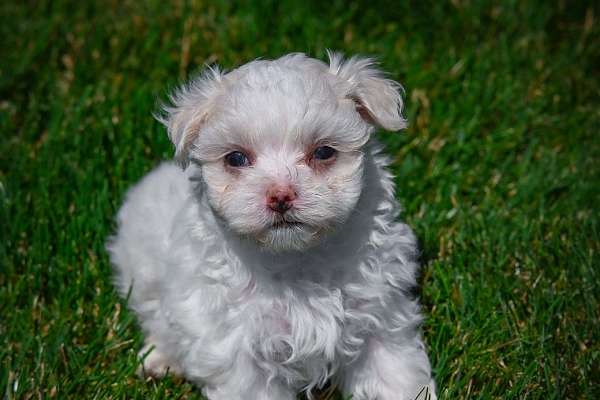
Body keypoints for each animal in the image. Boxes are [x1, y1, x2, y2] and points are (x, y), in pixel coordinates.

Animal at [108, 53, 436, 400]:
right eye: (236, 158)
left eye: (324, 152)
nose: (280, 196)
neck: (296, 260)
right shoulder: (238, 348)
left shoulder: (380, 318)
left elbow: (393, 374)